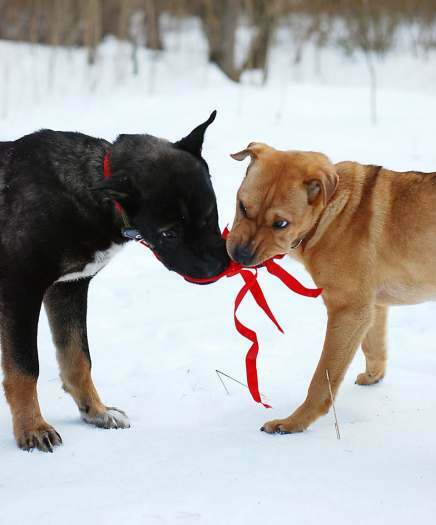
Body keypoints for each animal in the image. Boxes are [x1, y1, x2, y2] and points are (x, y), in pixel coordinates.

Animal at [0, 110, 227, 450]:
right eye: (168, 233)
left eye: (210, 214)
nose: (221, 266)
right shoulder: (21, 288)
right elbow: (25, 367)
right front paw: (32, 428)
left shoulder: (68, 288)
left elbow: (78, 358)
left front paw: (95, 411)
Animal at [227, 142, 436, 434]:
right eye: (243, 207)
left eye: (281, 224)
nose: (240, 256)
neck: (330, 215)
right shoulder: (371, 305)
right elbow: (374, 346)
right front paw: (373, 376)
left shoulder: (348, 310)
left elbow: (323, 376)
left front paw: (293, 422)